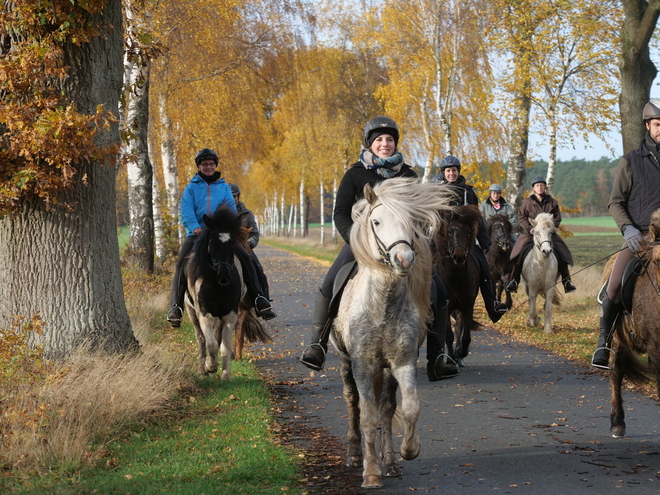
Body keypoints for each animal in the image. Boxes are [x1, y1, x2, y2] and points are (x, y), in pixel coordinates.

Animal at [184, 205, 270, 380]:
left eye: (231, 244)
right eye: (211, 242)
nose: (223, 275)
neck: (218, 287)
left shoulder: (232, 314)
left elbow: (227, 343)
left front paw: (226, 374)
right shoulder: (204, 315)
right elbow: (210, 343)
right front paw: (210, 366)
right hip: (191, 311)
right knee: (201, 339)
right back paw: (202, 370)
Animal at [332, 177, 456, 488]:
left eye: (411, 222)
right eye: (376, 221)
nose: (404, 259)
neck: (383, 304)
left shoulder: (402, 362)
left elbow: (408, 407)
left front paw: (408, 451)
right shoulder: (362, 365)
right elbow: (366, 416)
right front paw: (370, 473)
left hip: (386, 369)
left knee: (387, 409)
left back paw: (389, 462)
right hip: (345, 362)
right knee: (352, 403)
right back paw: (354, 456)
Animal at [434, 203, 480, 366]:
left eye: (468, 232)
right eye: (450, 231)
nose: (459, 257)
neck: (457, 276)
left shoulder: (467, 305)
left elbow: (465, 335)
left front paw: (461, 352)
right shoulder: (446, 307)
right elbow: (448, 335)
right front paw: (450, 358)